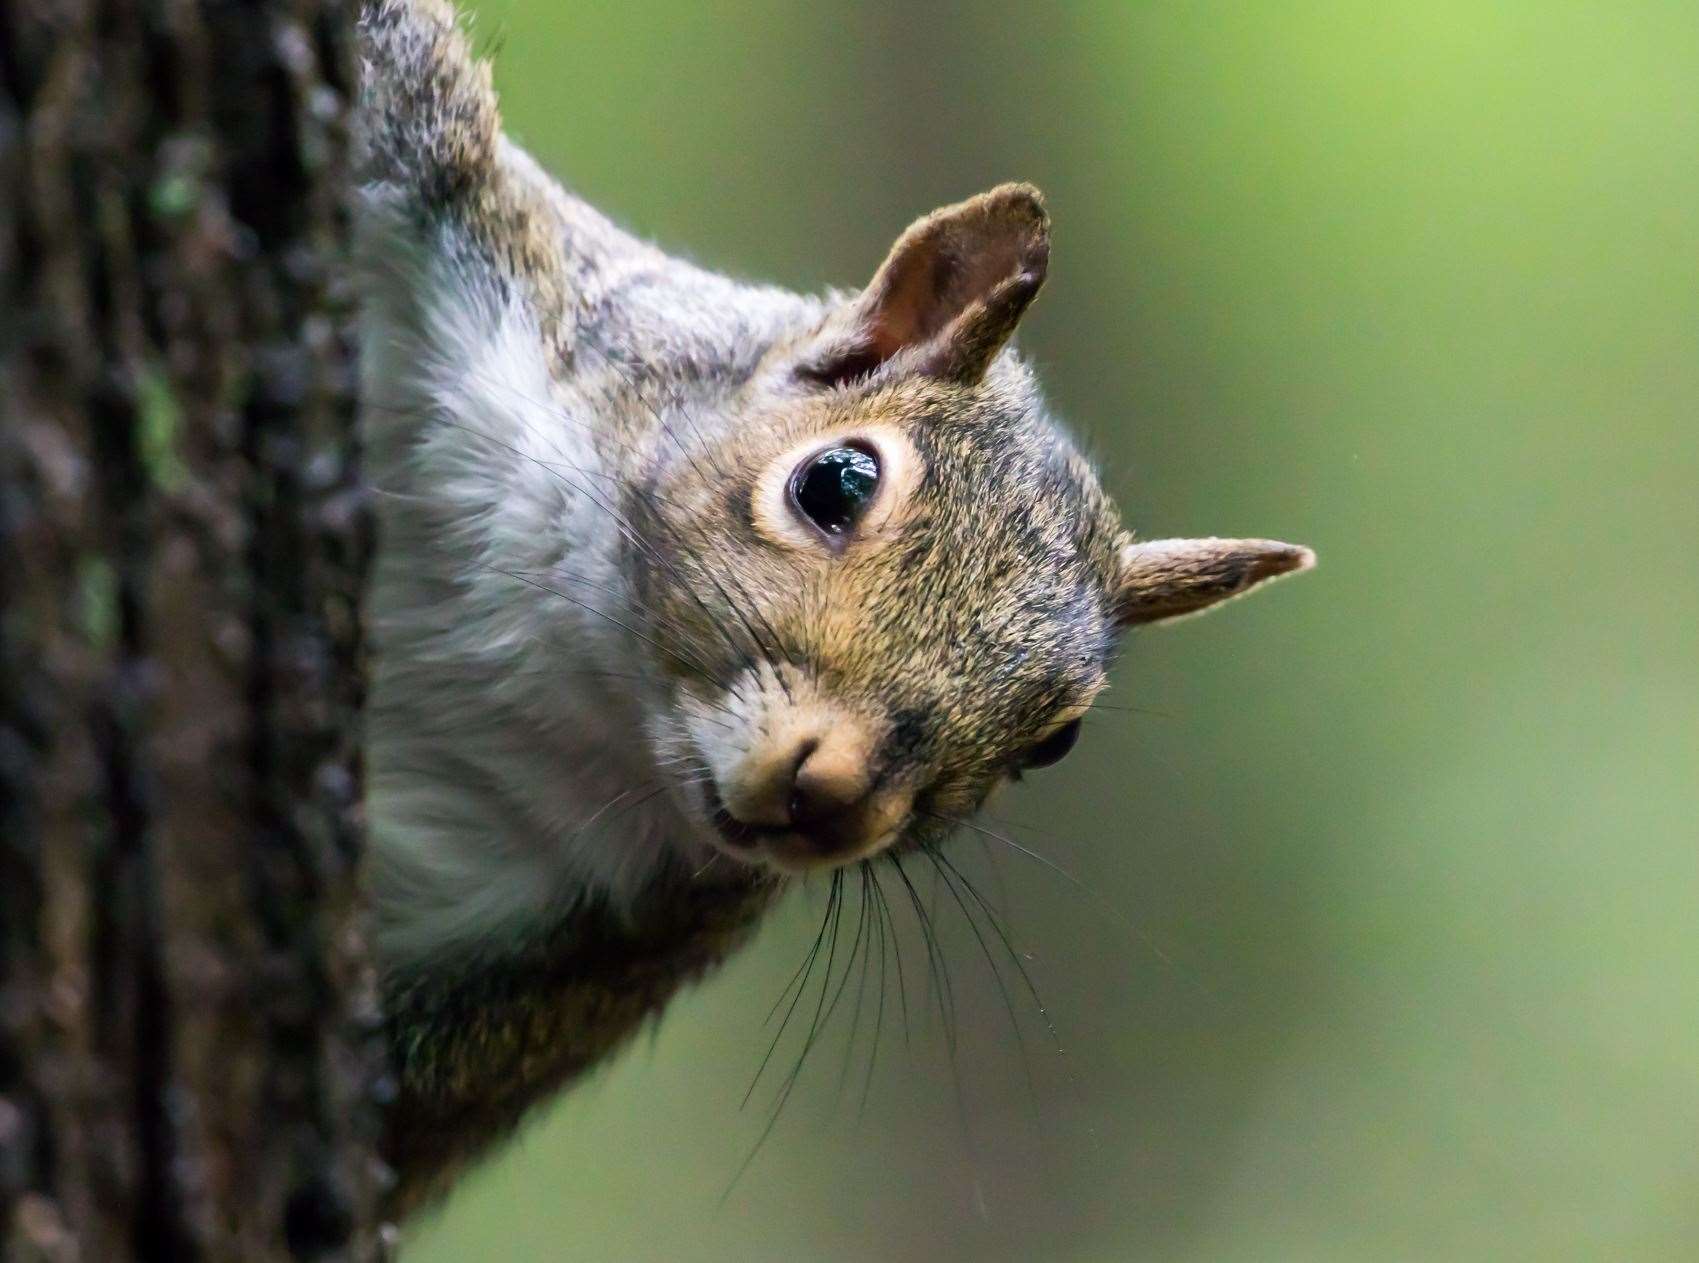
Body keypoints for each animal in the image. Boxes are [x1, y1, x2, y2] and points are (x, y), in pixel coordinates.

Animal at [355, 0, 1311, 1217]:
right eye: (836, 482)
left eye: (1053, 741)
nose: (835, 791)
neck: (571, 657)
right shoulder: (479, 227)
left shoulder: (575, 955)